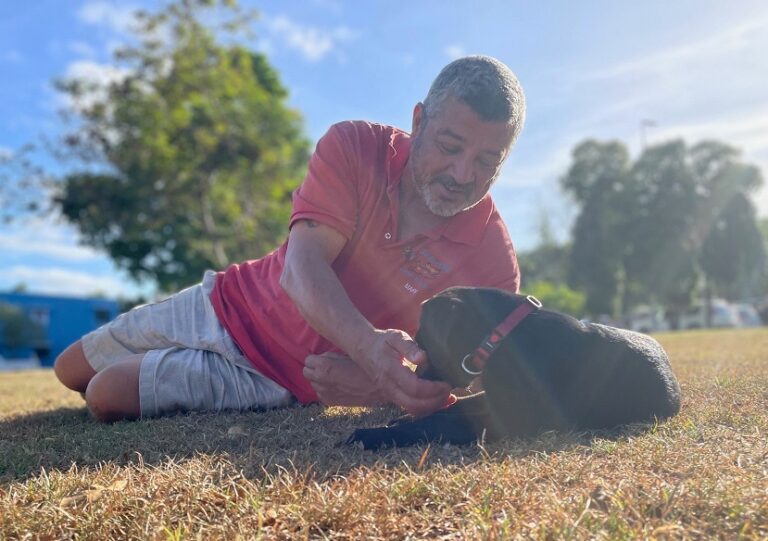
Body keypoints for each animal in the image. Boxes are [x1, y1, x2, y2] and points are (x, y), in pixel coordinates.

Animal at [352, 288, 680, 450]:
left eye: (423, 342)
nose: (418, 377)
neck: (500, 336)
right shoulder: (491, 398)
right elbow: (456, 407)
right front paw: (404, 418)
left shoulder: (510, 418)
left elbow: (440, 423)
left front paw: (371, 435)